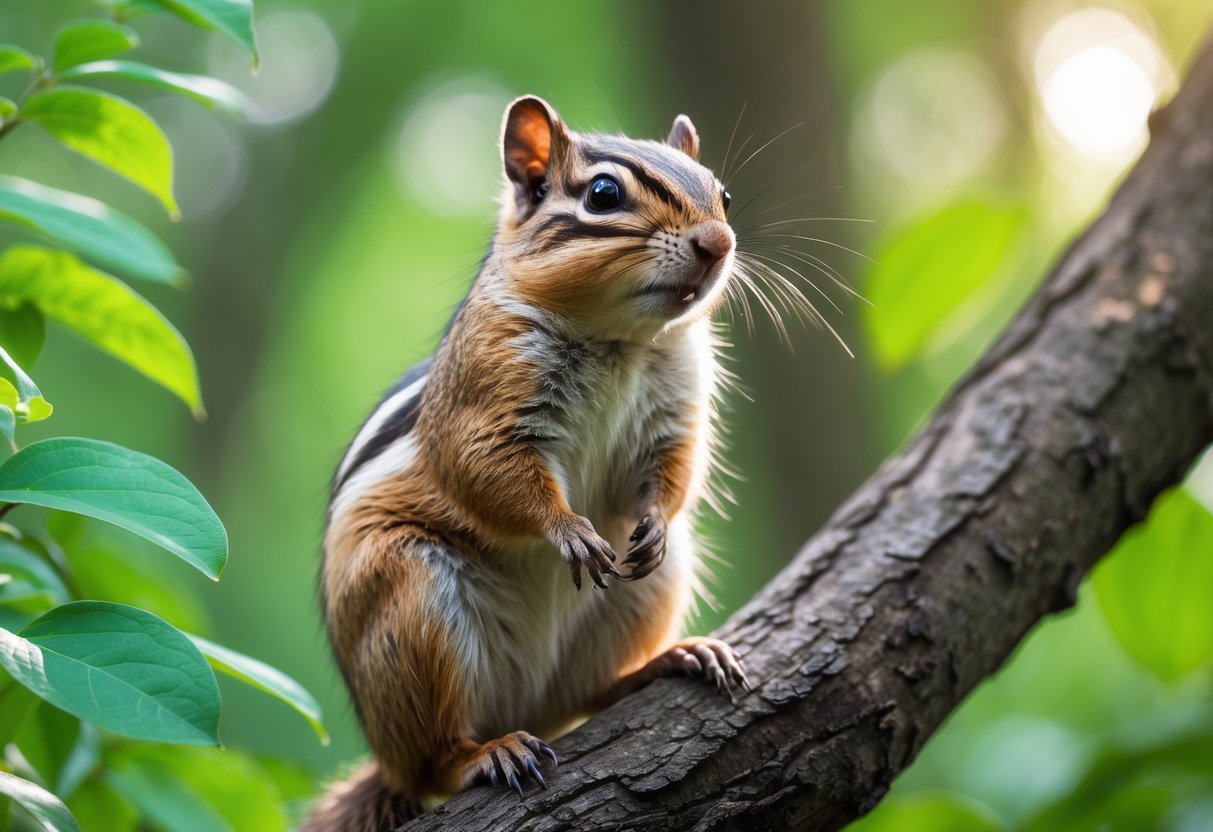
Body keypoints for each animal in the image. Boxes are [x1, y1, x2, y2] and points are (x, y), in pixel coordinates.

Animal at [306, 95, 751, 832]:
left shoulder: (677, 408)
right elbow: (487, 471)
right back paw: (485, 753)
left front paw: (654, 520)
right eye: (603, 195)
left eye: (723, 195)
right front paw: (567, 530)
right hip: (411, 599)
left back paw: (670, 660)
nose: (718, 243)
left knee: (587, 697)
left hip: (643, 594)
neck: (618, 341)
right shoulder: (485, 403)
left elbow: (677, 470)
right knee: (436, 763)